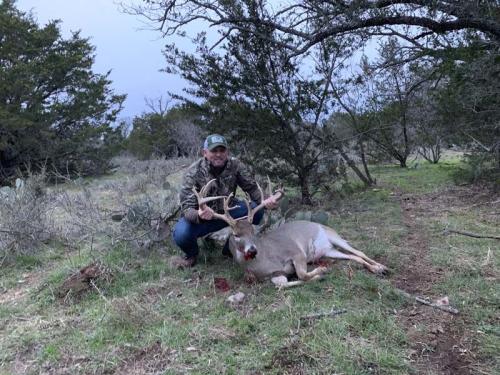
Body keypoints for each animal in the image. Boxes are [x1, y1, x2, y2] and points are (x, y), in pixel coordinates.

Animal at [191, 179, 386, 288]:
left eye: (253, 232)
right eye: (236, 234)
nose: (252, 250)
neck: (263, 262)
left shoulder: (296, 253)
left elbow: (302, 274)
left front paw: (321, 270)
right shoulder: (274, 275)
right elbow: (282, 286)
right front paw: (319, 275)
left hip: (333, 236)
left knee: (358, 251)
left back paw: (381, 267)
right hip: (329, 251)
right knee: (353, 256)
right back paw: (376, 269)